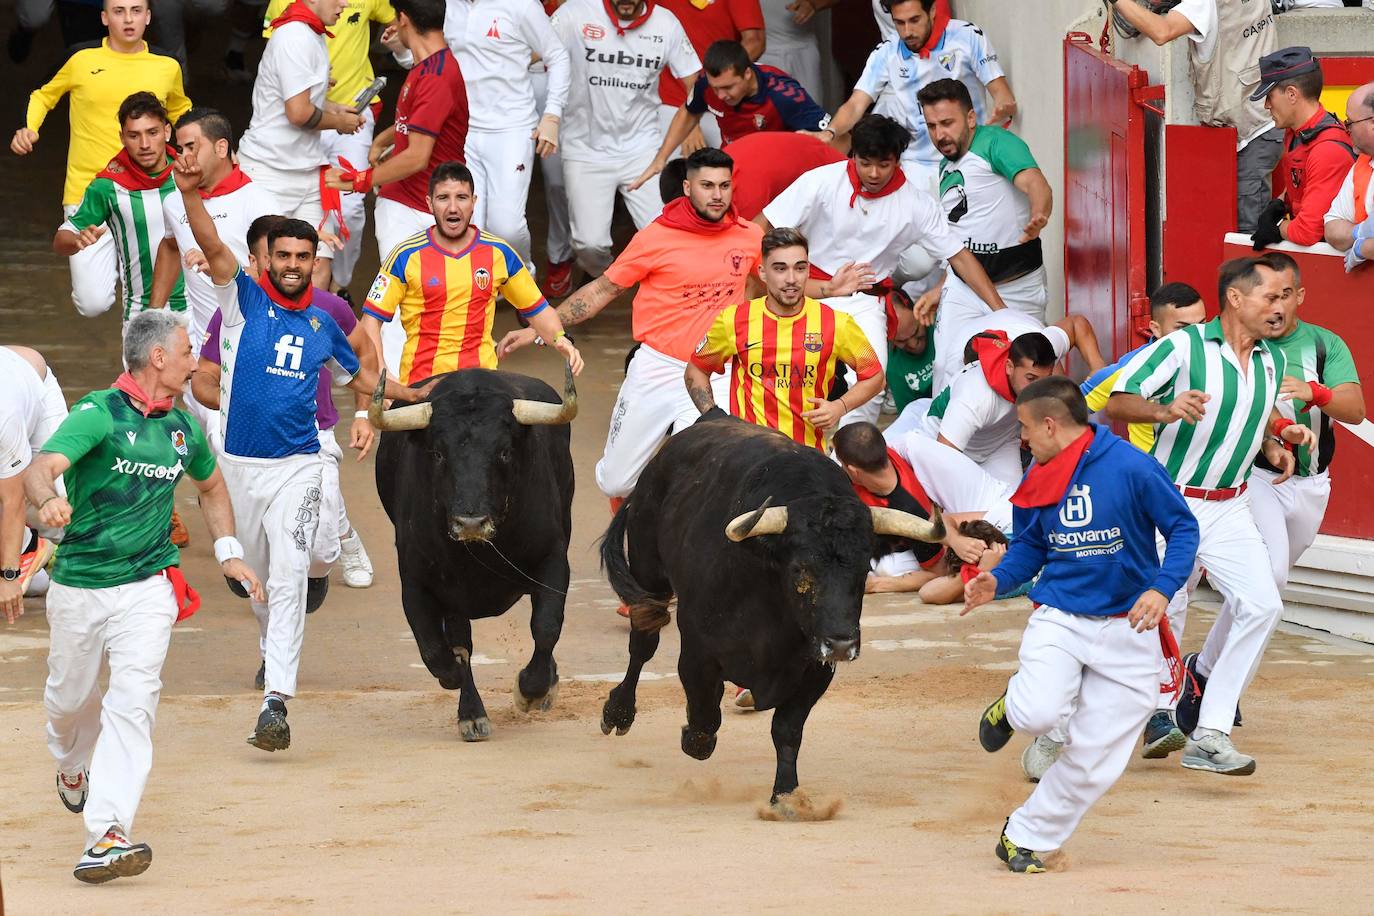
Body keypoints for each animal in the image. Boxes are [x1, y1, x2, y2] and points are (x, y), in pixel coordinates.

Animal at [370, 365, 574, 736]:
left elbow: (546, 626)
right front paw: (458, 682)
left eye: (504, 452)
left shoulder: (553, 560)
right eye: (438, 454)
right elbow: (438, 650)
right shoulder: (415, 582)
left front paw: (532, 690)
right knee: (458, 640)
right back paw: (471, 713)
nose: (471, 522)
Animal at [601, 420, 945, 807]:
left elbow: (787, 730)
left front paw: (786, 796)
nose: (842, 644)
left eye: (864, 570)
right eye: (799, 570)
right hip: (648, 573)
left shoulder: (815, 669)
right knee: (642, 642)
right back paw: (618, 712)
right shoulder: (697, 653)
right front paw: (693, 736)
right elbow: (704, 720)